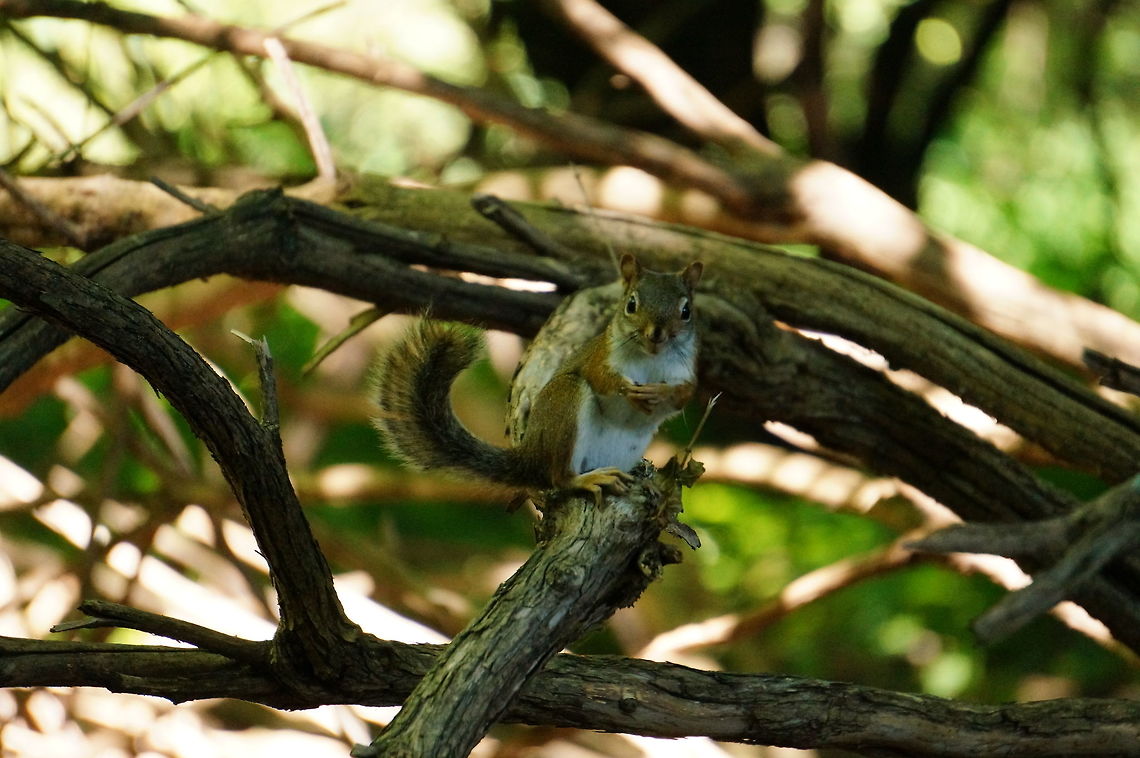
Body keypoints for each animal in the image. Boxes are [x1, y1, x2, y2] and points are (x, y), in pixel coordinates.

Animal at [372, 253, 703, 503]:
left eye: (686, 310)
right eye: (631, 304)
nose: (656, 334)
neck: (651, 357)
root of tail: (531, 456)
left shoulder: (685, 374)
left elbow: (684, 395)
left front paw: (660, 395)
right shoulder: (600, 357)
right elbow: (602, 378)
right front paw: (627, 389)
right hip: (566, 400)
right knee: (557, 478)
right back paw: (587, 480)